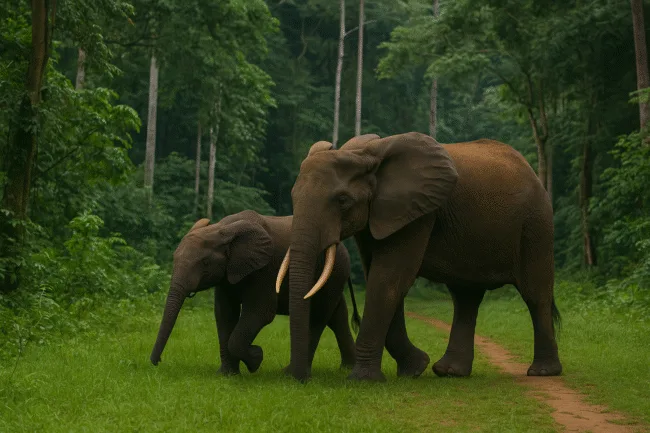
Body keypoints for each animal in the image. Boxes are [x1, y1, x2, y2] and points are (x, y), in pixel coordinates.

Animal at [150, 210, 360, 375]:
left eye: (205, 263)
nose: (157, 362)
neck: (222, 229)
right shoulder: (228, 274)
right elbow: (225, 314)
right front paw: (227, 374)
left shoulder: (266, 269)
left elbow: (260, 312)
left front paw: (256, 359)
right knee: (337, 316)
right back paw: (347, 368)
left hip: (334, 272)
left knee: (319, 316)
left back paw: (290, 372)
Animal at [276, 132, 562, 382]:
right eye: (293, 196)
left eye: (343, 200)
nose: (300, 378)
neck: (364, 154)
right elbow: (378, 275)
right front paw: (414, 369)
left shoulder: (419, 213)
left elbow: (388, 279)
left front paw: (363, 380)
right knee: (465, 297)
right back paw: (449, 372)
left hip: (535, 225)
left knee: (535, 294)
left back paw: (542, 373)